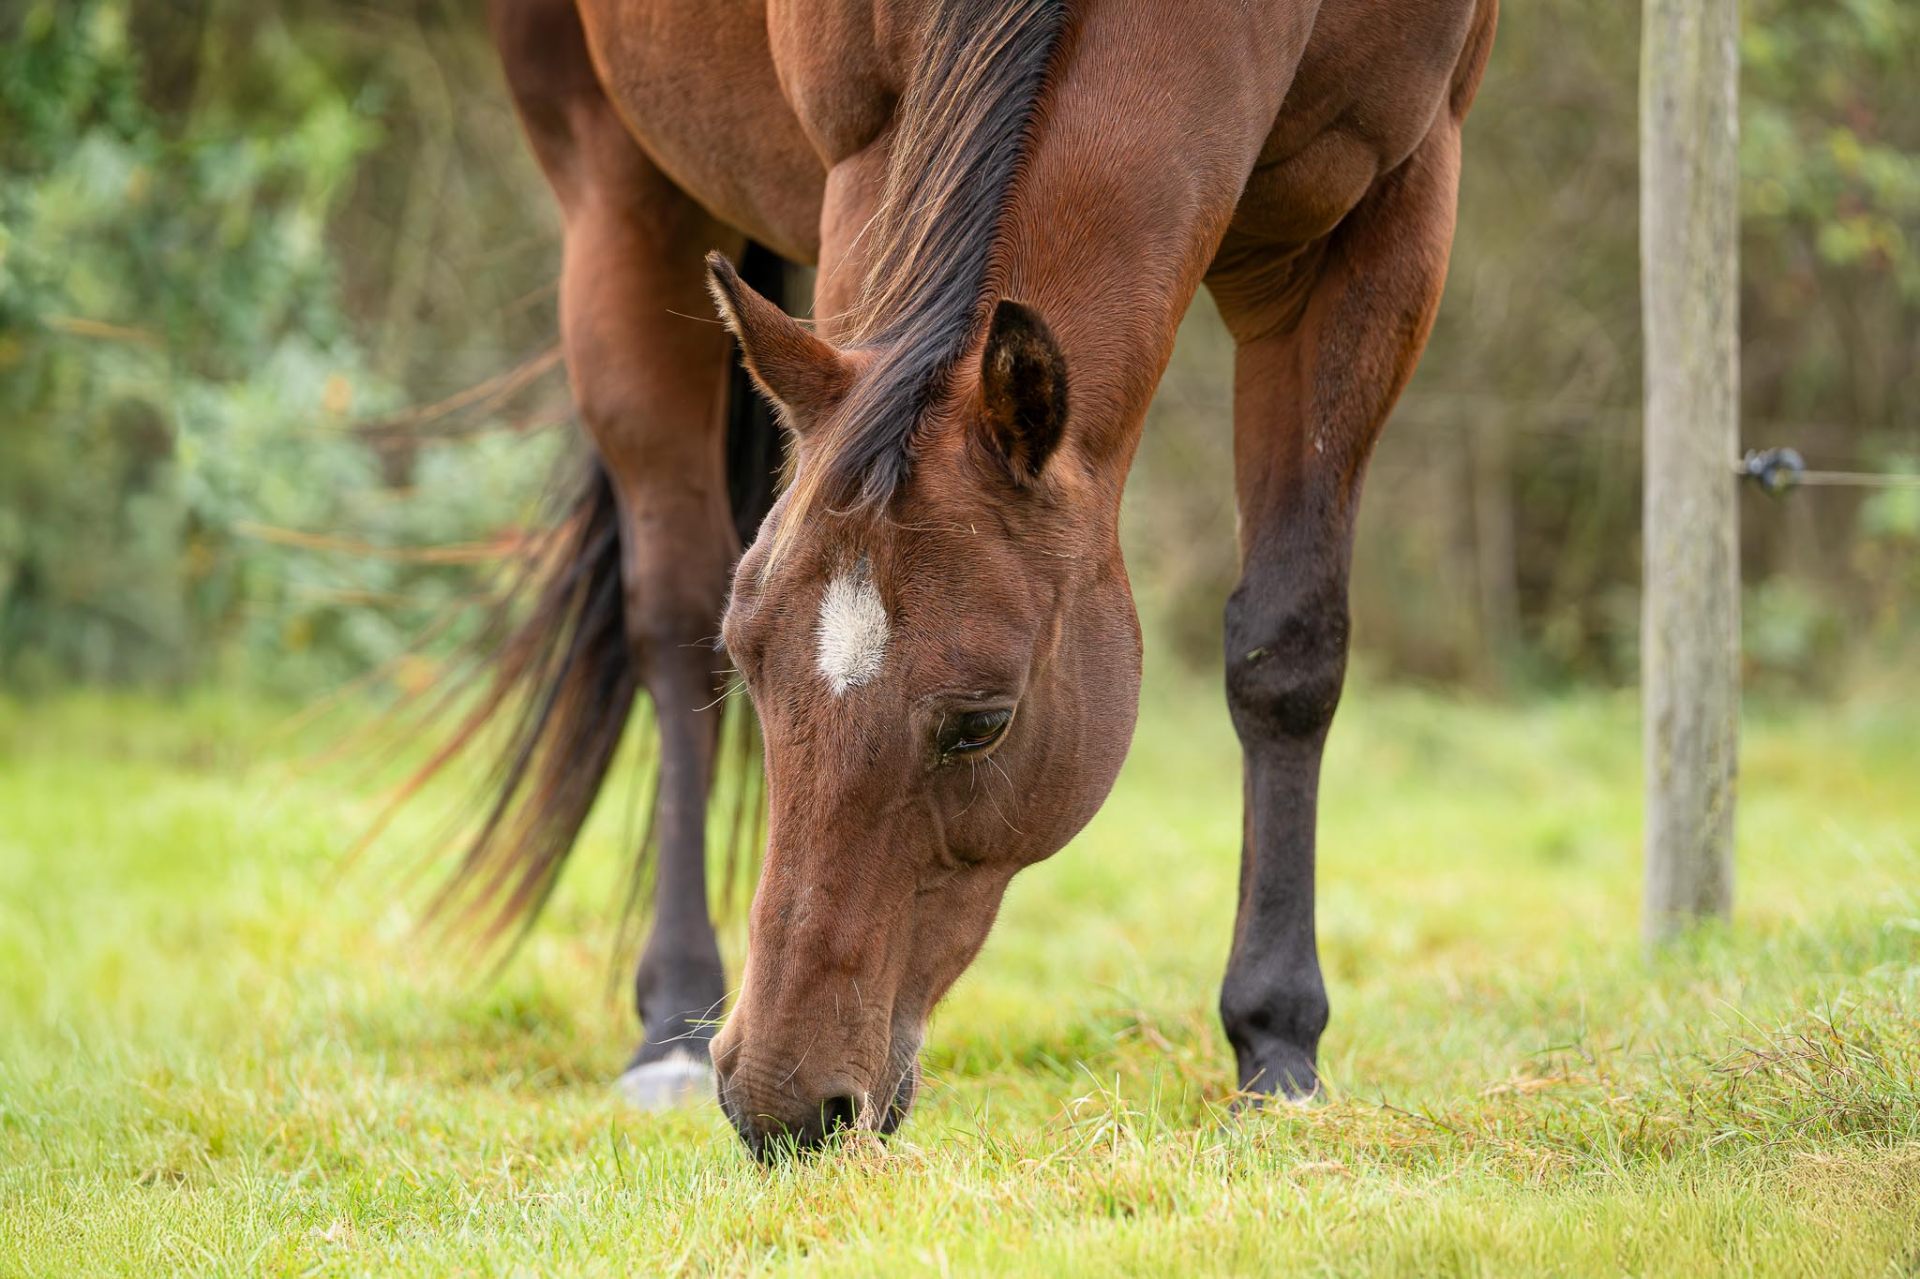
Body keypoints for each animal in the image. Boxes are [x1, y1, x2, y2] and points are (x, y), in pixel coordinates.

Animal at [440, 0, 1498, 1158]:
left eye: (982, 725)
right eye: (753, 670)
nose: (782, 1105)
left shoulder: (1387, 219)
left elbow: (1288, 648)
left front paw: (1277, 1048)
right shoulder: (866, 156)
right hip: (621, 194)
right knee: (670, 615)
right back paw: (671, 1021)